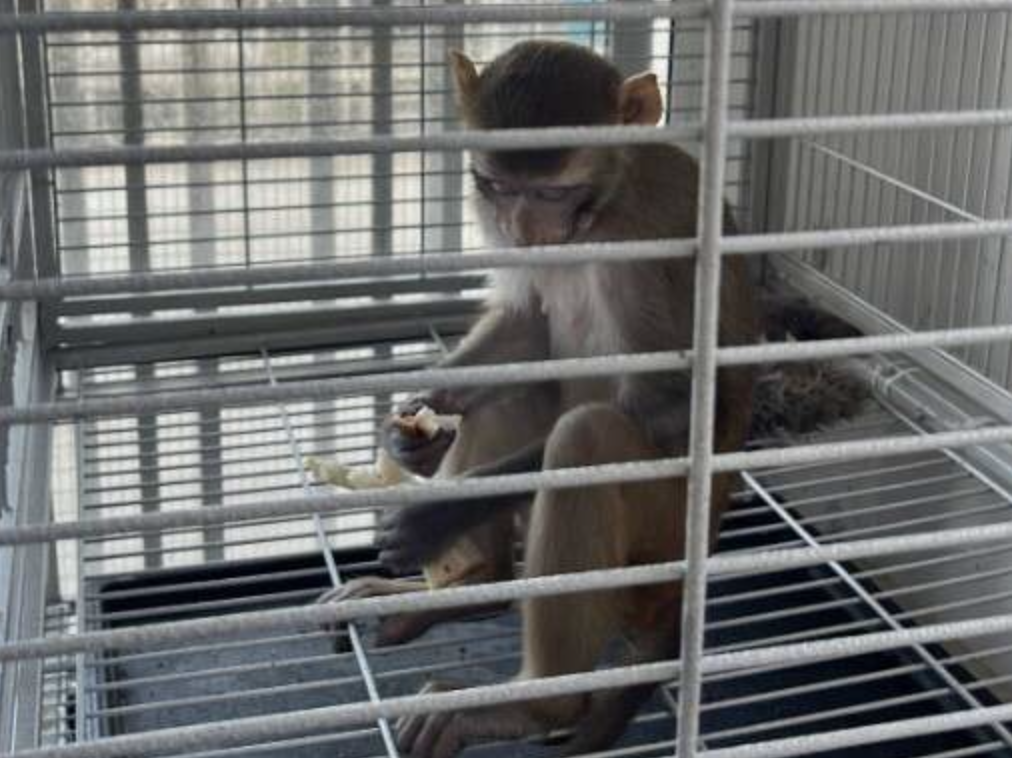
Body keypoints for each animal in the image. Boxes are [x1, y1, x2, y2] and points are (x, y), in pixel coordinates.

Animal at [319, 40, 865, 758]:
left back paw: (536, 704)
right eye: (497, 186)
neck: (600, 214)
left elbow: (668, 406)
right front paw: (416, 428)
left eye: (552, 189)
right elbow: (526, 323)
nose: (522, 226)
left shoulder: (658, 240)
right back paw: (474, 588)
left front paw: (439, 512)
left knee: (586, 439)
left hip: (657, 543)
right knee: (513, 398)